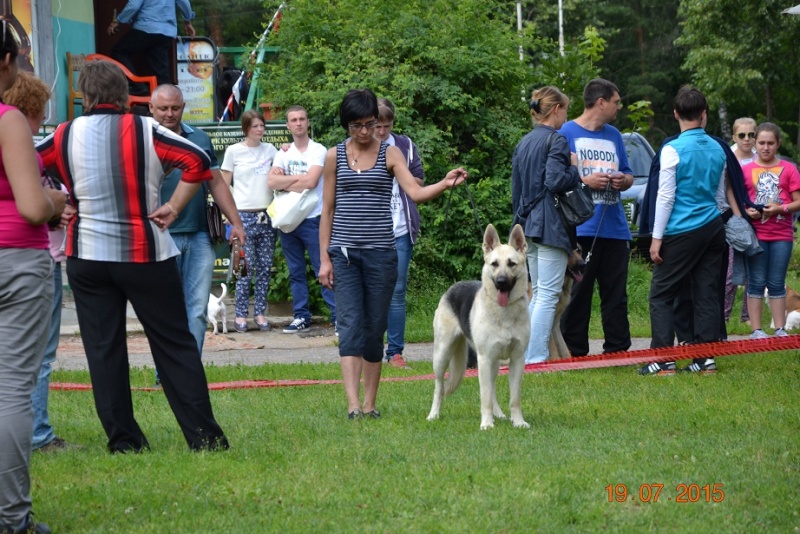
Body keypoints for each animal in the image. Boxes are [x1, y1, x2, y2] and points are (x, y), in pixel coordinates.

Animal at [424, 225, 532, 432]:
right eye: (494, 264)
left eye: (512, 264)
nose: (501, 282)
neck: (504, 313)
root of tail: (452, 287)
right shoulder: (484, 359)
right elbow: (485, 398)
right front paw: (487, 424)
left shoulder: (517, 359)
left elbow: (514, 398)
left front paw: (518, 422)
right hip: (442, 355)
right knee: (439, 386)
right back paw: (433, 414)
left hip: (494, 363)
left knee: (492, 388)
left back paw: (499, 414)